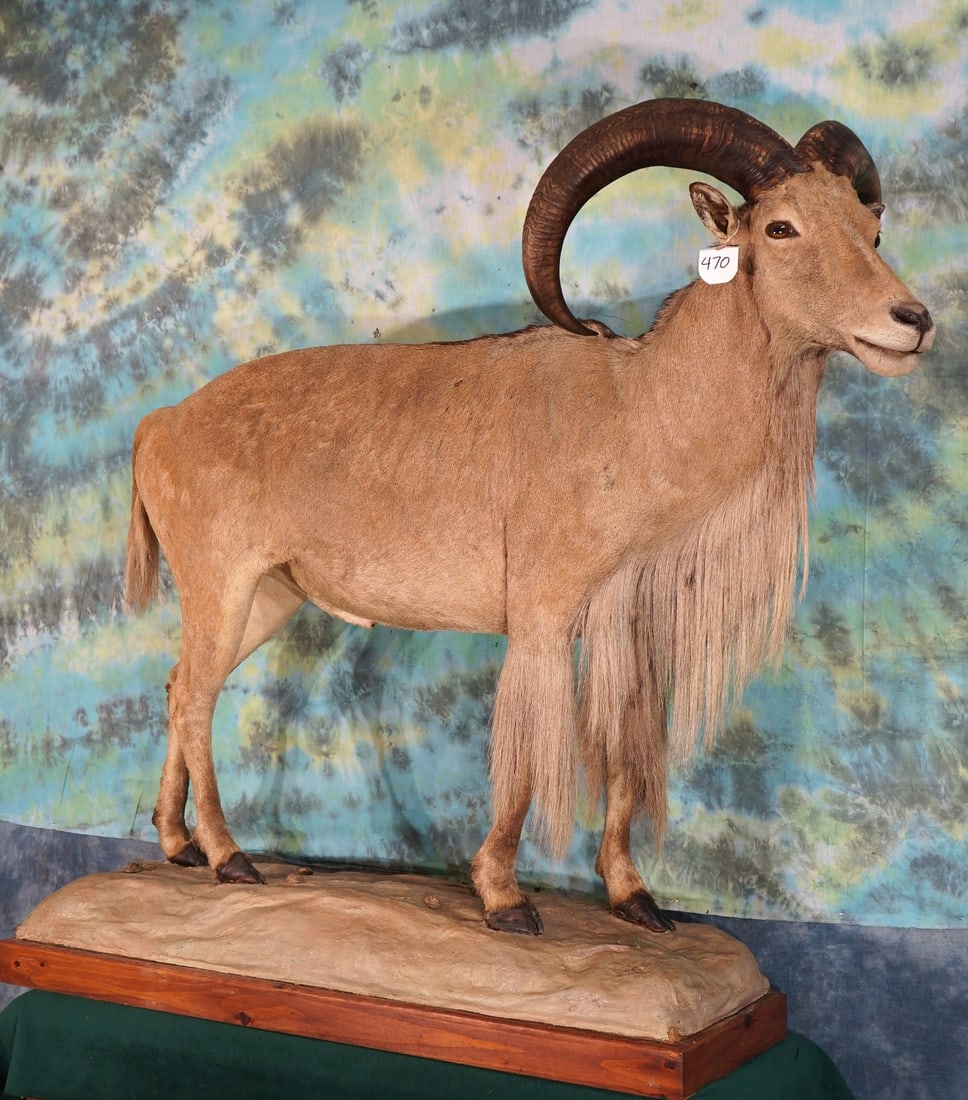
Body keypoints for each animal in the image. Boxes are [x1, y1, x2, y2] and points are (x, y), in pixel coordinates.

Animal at [126, 98, 933, 935]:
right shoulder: (543, 620)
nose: (912, 320)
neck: (639, 411)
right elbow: (524, 764)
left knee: (179, 685)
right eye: (781, 227)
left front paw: (634, 896)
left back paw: (177, 843)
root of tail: (160, 425)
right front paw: (505, 897)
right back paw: (228, 856)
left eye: (871, 231)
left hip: (270, 597)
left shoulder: (625, 631)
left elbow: (622, 761)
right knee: (196, 697)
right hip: (220, 584)